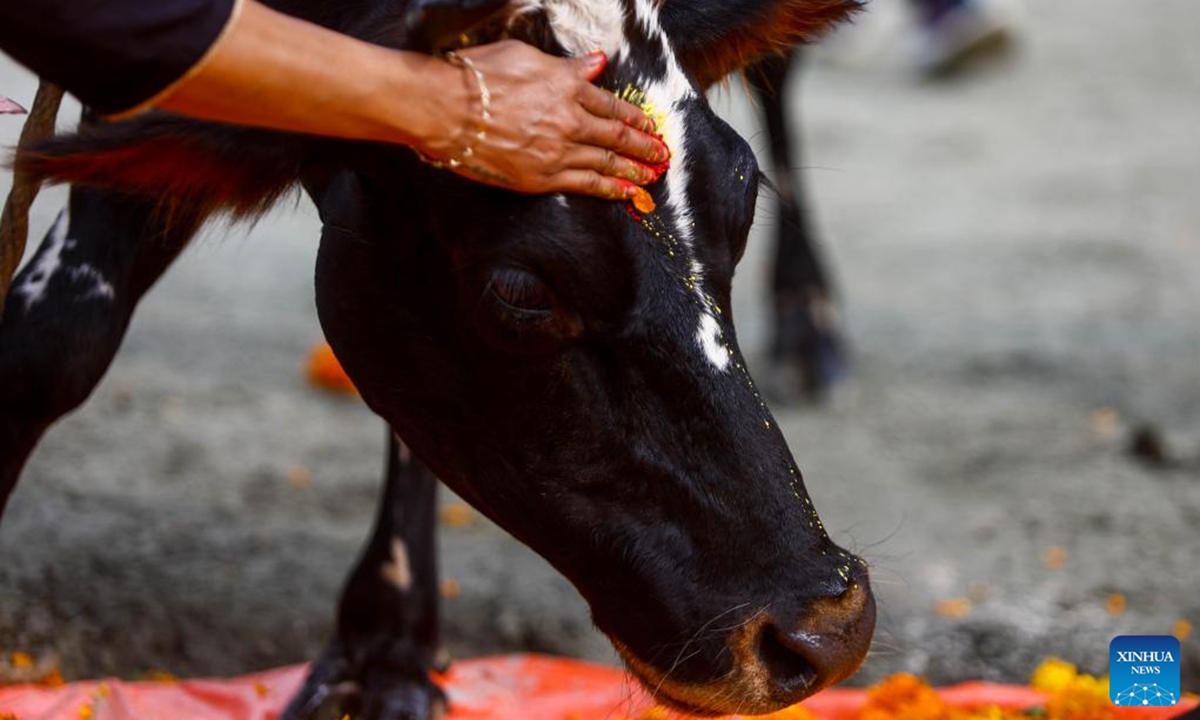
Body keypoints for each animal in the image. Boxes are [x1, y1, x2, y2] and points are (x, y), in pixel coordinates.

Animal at [4, 1, 878, 720]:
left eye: (745, 199)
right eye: (521, 291)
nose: (826, 628)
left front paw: (389, 649)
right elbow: (54, 338)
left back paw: (808, 315)